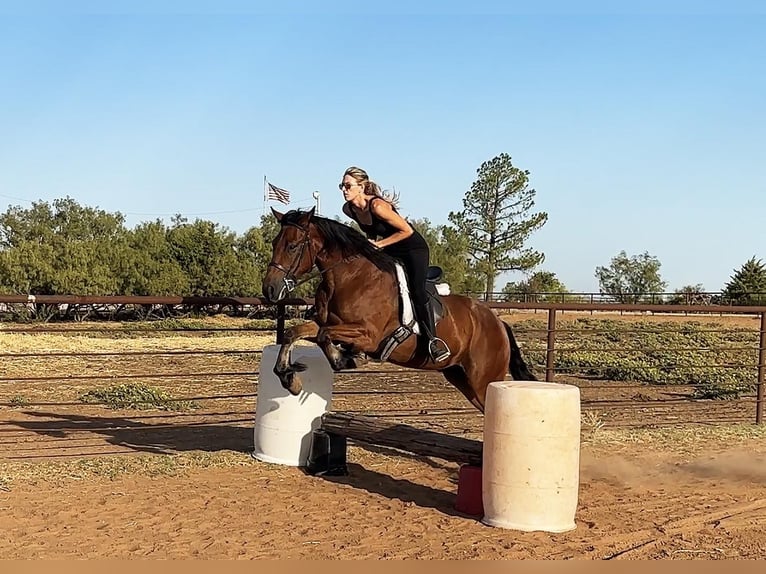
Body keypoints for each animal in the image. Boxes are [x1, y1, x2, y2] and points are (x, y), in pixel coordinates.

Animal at [260, 208, 536, 414]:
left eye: (293, 246)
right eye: (274, 243)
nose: (269, 289)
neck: (349, 278)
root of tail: (498, 322)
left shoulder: (368, 335)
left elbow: (323, 336)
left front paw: (345, 359)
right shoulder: (326, 322)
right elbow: (295, 333)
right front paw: (289, 379)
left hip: (484, 379)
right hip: (460, 376)